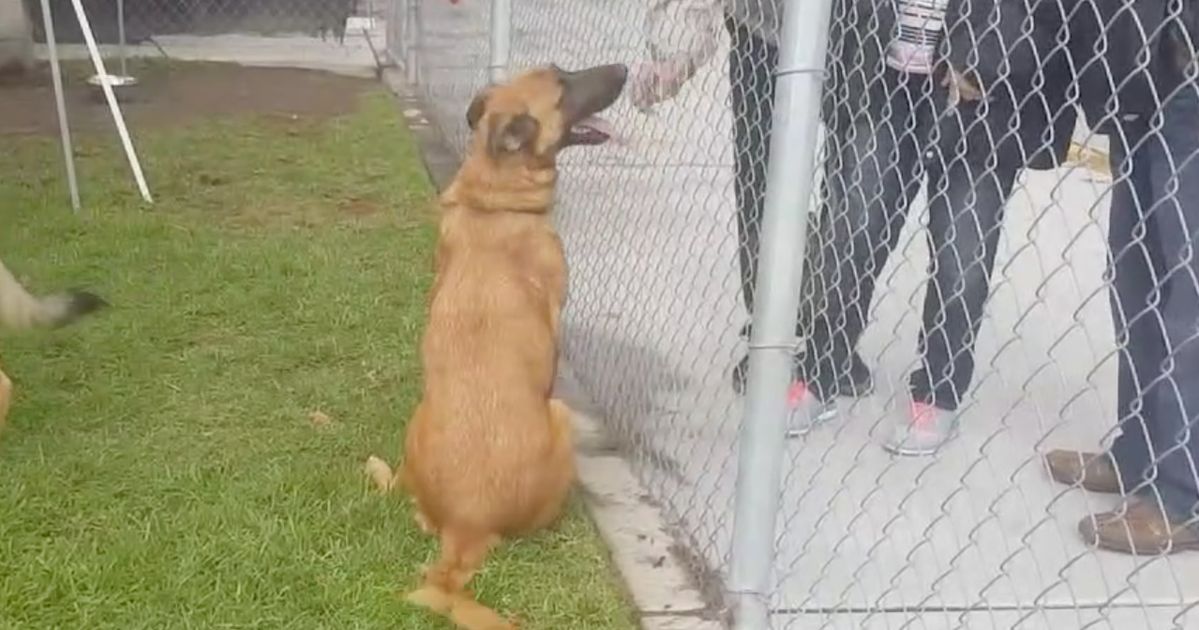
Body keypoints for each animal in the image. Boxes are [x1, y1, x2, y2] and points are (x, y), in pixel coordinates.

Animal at [362, 65, 628, 628]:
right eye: (564, 87)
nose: (624, 70)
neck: (496, 196)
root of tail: (468, 525)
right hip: (559, 417)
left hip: (416, 422)